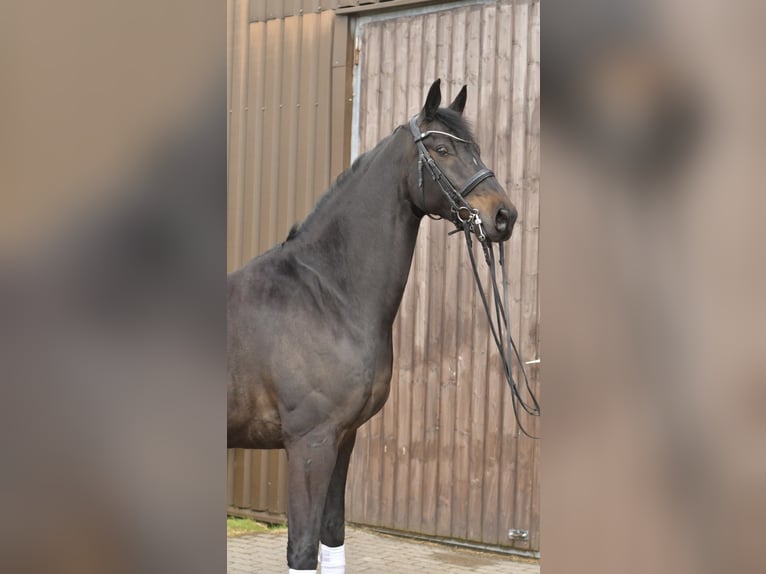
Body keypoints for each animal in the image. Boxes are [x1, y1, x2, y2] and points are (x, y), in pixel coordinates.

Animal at [227, 79, 517, 574]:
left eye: (476, 149)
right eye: (441, 148)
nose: (504, 216)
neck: (328, 295)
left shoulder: (343, 439)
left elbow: (332, 539)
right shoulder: (309, 444)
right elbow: (302, 550)